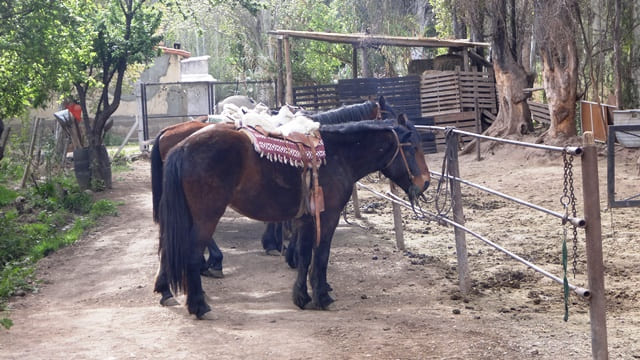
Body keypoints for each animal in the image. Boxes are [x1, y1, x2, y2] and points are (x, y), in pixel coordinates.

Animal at [155, 114, 430, 318]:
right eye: (414, 148)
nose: (425, 183)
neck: (338, 155)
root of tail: (182, 146)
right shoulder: (328, 217)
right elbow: (321, 255)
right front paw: (322, 297)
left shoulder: (307, 220)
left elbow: (304, 255)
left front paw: (301, 296)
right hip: (206, 216)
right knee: (191, 253)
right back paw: (200, 306)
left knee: (169, 247)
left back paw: (167, 291)